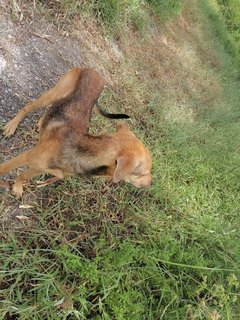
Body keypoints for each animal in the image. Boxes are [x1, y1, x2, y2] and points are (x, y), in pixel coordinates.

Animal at [0, 67, 152, 198]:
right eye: (144, 173)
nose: (151, 183)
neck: (81, 151)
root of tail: (94, 70)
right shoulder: (25, 157)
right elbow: (4, 169)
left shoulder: (39, 168)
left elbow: (23, 176)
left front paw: (17, 186)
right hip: (56, 92)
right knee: (29, 105)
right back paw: (12, 126)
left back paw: (41, 123)